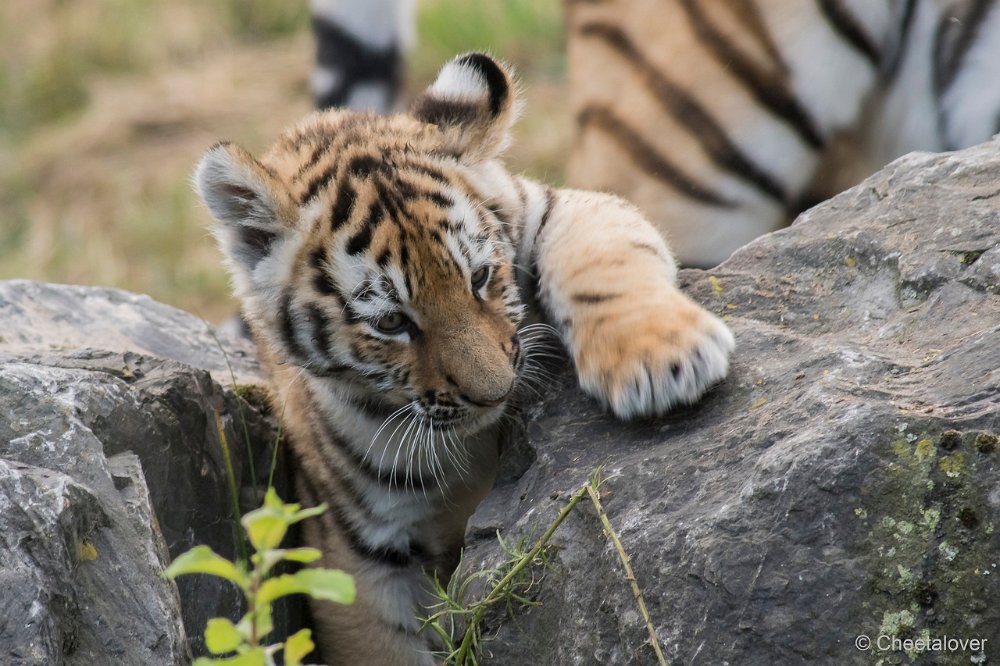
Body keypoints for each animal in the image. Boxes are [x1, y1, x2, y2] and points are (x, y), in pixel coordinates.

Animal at [193, 53, 736, 664]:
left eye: (478, 278)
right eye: (390, 323)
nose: (496, 393)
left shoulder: (548, 205)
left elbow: (601, 253)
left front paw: (662, 361)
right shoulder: (356, 560)